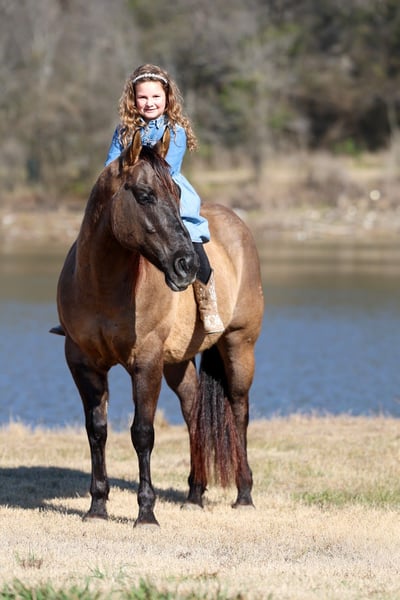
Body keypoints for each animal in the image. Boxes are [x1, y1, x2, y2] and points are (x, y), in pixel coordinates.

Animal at [54, 129, 264, 526]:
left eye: (177, 193)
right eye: (144, 195)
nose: (186, 266)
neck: (104, 285)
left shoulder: (146, 362)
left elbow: (142, 433)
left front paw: (146, 512)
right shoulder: (83, 362)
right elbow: (97, 431)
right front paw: (97, 506)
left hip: (238, 346)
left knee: (239, 411)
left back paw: (244, 494)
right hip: (178, 363)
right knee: (194, 413)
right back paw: (195, 494)